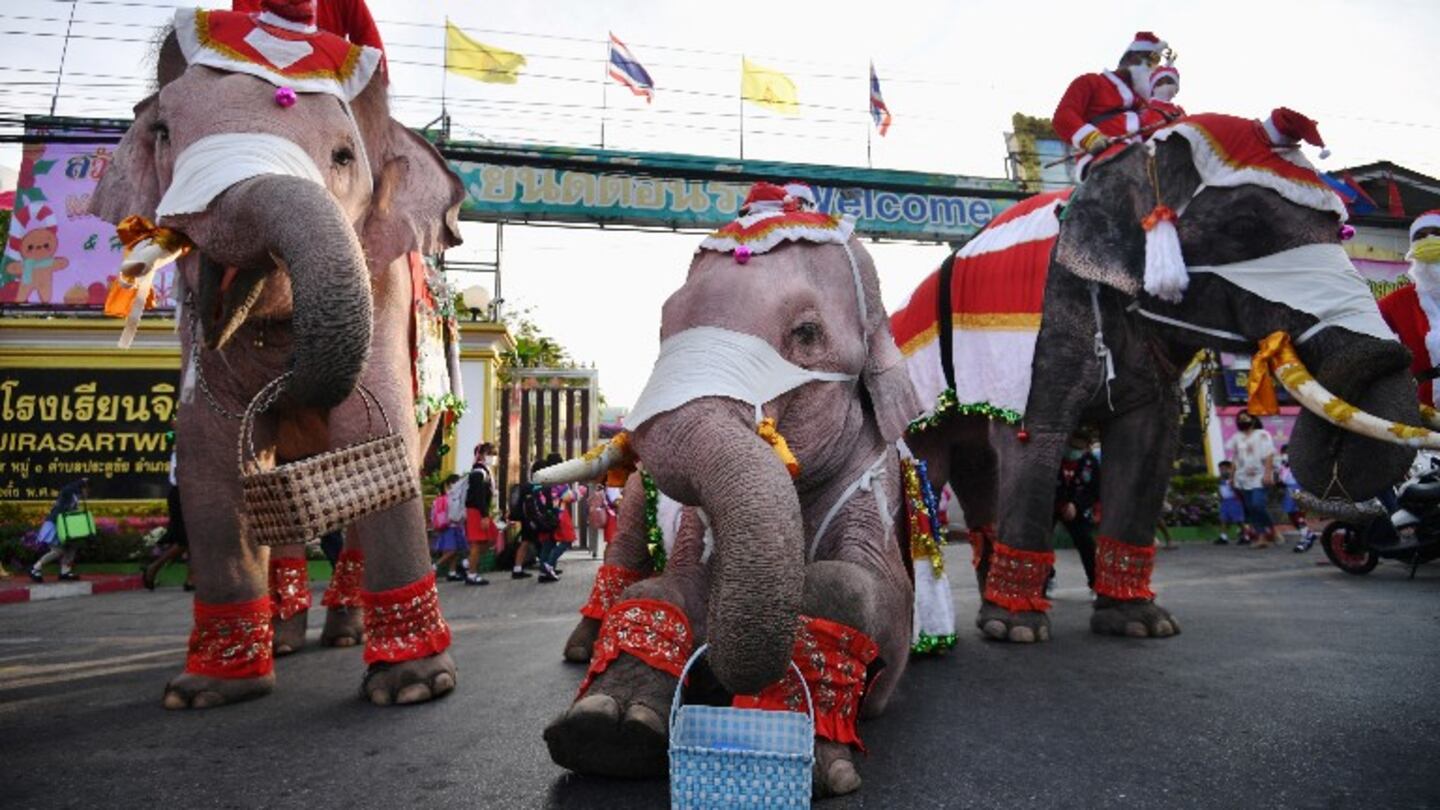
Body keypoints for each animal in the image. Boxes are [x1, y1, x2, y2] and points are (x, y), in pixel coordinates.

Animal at [91, 6, 460, 703]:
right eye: (162, 131)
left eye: (344, 156)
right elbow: (208, 452)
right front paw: (205, 691)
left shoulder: (384, 289)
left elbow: (371, 431)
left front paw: (413, 686)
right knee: (274, 492)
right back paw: (284, 641)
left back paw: (343, 634)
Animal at [541, 183, 921, 795]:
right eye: (664, 325)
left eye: (806, 333)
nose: (715, 681)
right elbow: (672, 586)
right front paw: (604, 731)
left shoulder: (875, 482)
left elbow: (866, 594)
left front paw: (823, 765)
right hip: (630, 501)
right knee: (622, 551)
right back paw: (582, 648)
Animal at [898, 110, 1428, 639]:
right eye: (1244, 227)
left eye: (1341, 231)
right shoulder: (1046, 323)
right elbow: (1036, 436)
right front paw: (1019, 631)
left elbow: (1148, 440)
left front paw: (1141, 624)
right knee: (936, 466)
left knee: (979, 473)